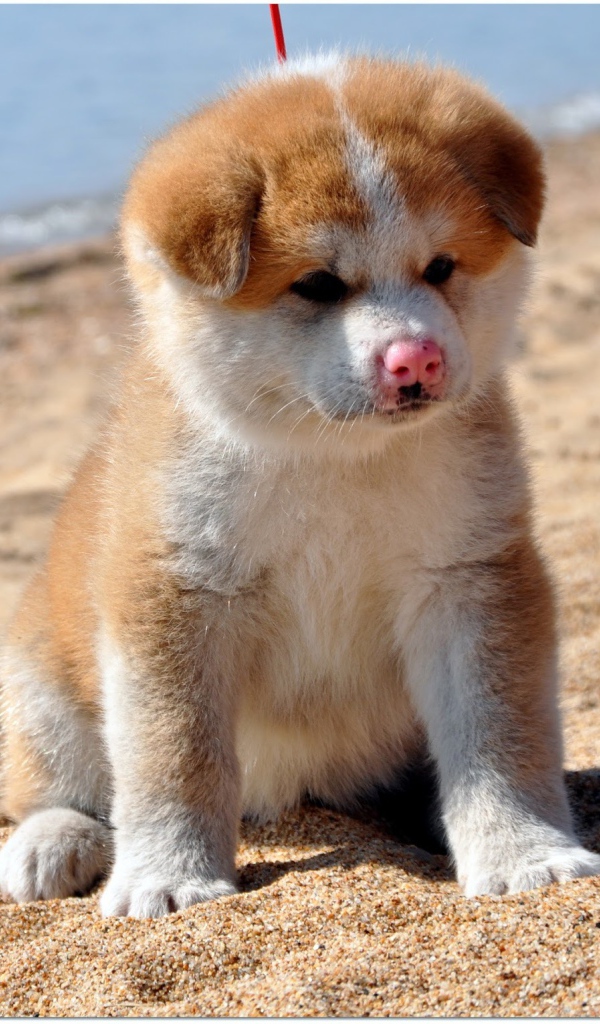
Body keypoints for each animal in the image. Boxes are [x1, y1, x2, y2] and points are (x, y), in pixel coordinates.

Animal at [1, 58, 597, 921]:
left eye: (441, 267)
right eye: (317, 284)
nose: (414, 359)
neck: (329, 455)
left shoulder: (470, 577)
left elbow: (497, 735)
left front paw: (524, 852)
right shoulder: (173, 595)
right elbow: (173, 757)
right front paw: (168, 876)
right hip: (40, 684)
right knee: (56, 786)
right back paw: (54, 841)